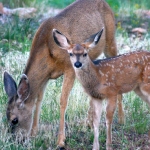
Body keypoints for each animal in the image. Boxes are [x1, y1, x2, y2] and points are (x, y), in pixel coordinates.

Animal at [3, 0, 124, 148]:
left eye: (14, 120)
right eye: (6, 116)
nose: (16, 141)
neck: (47, 49)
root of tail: (105, 4)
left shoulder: (70, 68)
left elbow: (62, 101)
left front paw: (60, 141)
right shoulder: (46, 76)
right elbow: (39, 100)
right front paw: (33, 133)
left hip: (110, 40)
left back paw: (121, 119)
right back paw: (89, 123)